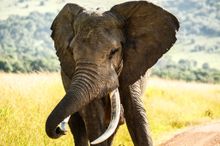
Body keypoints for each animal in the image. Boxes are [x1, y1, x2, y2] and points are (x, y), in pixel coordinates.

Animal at [45, 0, 179, 145]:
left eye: (114, 51)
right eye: (71, 52)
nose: (59, 130)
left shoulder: (132, 64)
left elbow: (136, 115)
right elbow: (94, 119)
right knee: (79, 126)